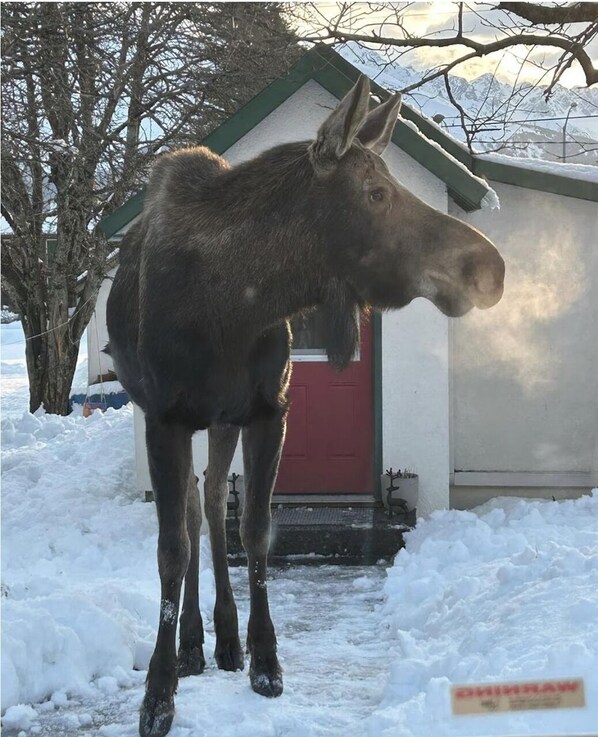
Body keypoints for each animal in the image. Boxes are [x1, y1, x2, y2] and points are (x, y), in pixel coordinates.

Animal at [106, 76, 506, 736]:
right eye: (375, 191)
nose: (489, 267)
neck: (234, 307)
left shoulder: (270, 410)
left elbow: (256, 531)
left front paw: (264, 659)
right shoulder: (164, 418)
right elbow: (170, 550)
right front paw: (158, 693)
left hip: (222, 421)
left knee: (210, 500)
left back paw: (222, 638)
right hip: (189, 420)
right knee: (192, 509)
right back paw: (191, 642)